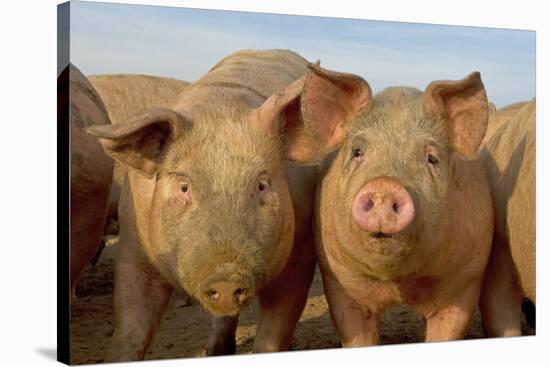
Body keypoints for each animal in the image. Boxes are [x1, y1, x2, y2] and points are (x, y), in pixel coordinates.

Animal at [85, 49, 354, 362]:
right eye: (184, 186)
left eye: (262, 184)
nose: (225, 275)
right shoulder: (133, 246)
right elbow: (129, 332)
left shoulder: (300, 252)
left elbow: (273, 335)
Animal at [310, 67, 496, 348]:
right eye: (357, 152)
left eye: (431, 158)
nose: (385, 185)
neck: (399, 284)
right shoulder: (338, 279)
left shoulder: (466, 279)